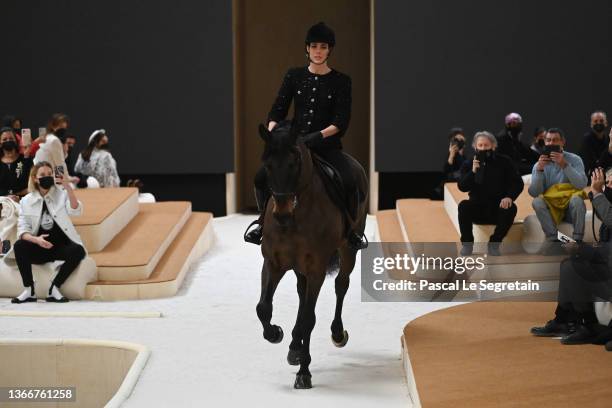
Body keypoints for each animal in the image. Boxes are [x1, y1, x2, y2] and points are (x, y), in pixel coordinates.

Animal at [255, 122, 368, 390]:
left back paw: (337, 333)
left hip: (348, 248)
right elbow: (263, 307)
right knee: (301, 292)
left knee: (341, 285)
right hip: (298, 267)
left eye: (295, 161)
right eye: (267, 163)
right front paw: (275, 333)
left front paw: (304, 373)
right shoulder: (272, 263)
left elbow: (309, 317)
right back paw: (294, 346)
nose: (281, 214)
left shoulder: (316, 267)